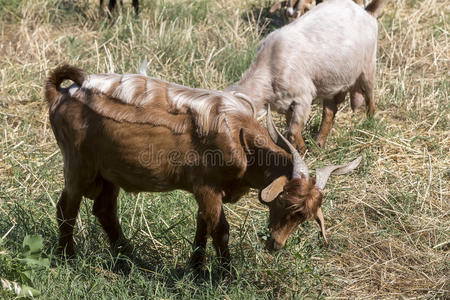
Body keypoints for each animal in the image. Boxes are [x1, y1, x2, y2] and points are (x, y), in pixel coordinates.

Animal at [44, 64, 362, 270]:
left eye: (305, 217)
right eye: (287, 202)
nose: (275, 244)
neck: (239, 136)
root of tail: (62, 92)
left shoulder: (208, 192)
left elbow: (203, 224)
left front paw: (195, 267)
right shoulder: (207, 187)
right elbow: (219, 229)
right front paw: (226, 274)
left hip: (108, 172)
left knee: (104, 210)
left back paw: (129, 259)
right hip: (78, 165)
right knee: (67, 207)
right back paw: (67, 258)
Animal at [229, 0, 386, 152]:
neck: (269, 66)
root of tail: (367, 13)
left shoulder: (303, 98)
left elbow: (292, 132)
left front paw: (302, 152)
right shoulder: (286, 105)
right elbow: (291, 130)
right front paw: (298, 149)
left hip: (368, 68)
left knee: (370, 98)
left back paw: (369, 123)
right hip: (330, 82)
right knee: (329, 112)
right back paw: (319, 145)